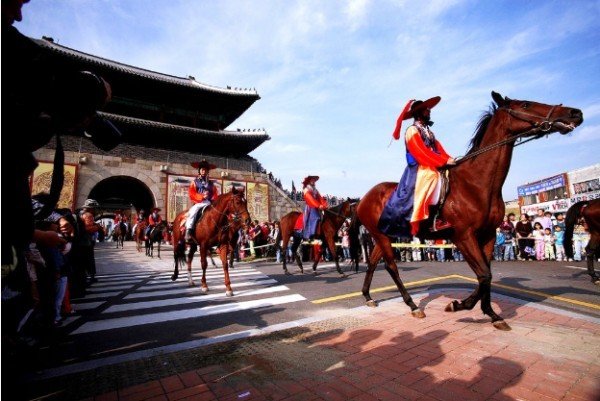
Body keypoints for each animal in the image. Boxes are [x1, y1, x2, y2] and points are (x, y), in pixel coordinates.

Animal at [352, 92, 580, 330]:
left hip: (384, 235)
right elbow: (484, 274)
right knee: (391, 267)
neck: (477, 184)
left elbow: (486, 274)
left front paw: (490, 313)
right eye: (526, 104)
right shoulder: (463, 236)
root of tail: (362, 199)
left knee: (374, 262)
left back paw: (368, 296)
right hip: (381, 235)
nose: (575, 113)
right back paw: (413, 306)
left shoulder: (487, 235)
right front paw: (461, 305)